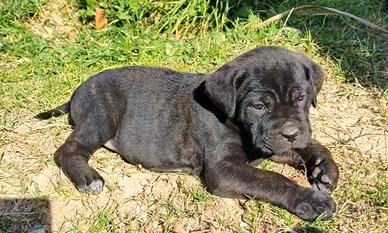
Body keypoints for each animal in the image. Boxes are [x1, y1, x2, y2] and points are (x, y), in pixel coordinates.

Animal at [37, 46, 340, 222]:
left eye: (301, 97)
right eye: (258, 106)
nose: (290, 132)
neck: (236, 122)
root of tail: (78, 91)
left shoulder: (270, 145)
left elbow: (310, 145)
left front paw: (324, 168)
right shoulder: (224, 170)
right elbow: (271, 179)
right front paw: (310, 201)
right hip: (101, 114)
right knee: (68, 150)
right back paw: (88, 178)